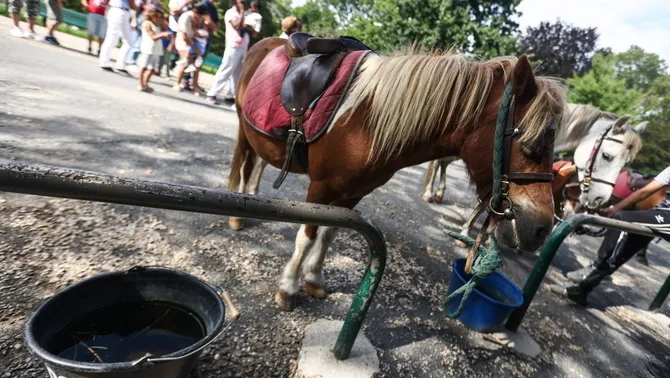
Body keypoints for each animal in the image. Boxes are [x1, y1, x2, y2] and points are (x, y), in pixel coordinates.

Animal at [227, 37, 568, 310]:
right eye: (532, 146)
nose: (541, 228)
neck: (365, 122)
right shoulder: (321, 189)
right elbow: (307, 238)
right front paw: (288, 288)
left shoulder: (351, 194)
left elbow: (328, 235)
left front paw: (314, 279)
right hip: (244, 130)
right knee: (244, 165)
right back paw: (238, 212)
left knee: (259, 164)